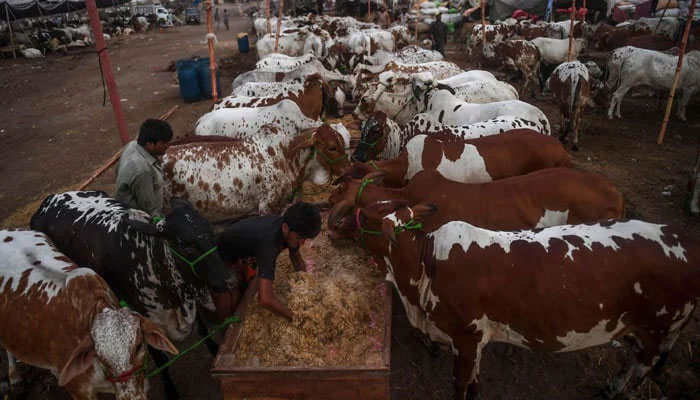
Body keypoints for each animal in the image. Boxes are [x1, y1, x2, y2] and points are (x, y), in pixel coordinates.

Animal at [29, 193, 235, 396]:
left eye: (212, 235)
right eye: (186, 246)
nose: (229, 280)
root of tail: (47, 201)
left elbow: (203, 330)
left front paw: (215, 350)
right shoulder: (142, 317)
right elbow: (160, 358)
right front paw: (170, 389)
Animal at [356, 203, 700, 400]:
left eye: (367, 217)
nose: (345, 219)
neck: (426, 264)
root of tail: (685, 238)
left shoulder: (465, 337)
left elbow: (460, 384)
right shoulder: (477, 340)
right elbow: (475, 383)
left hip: (657, 327)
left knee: (640, 370)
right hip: (648, 328)